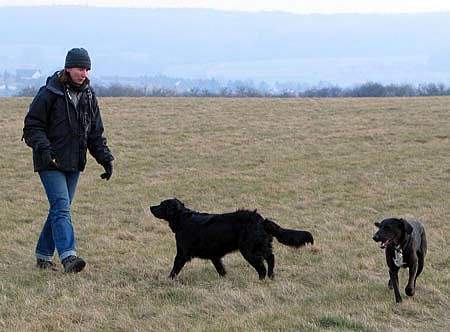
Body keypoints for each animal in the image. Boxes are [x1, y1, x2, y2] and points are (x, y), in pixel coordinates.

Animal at [149, 198, 312, 278]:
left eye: (162, 205)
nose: (150, 207)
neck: (183, 219)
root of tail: (261, 220)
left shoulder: (182, 253)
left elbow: (174, 269)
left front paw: (168, 280)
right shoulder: (214, 256)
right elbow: (221, 269)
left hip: (249, 251)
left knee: (262, 268)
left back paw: (261, 280)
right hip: (261, 246)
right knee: (271, 258)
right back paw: (271, 276)